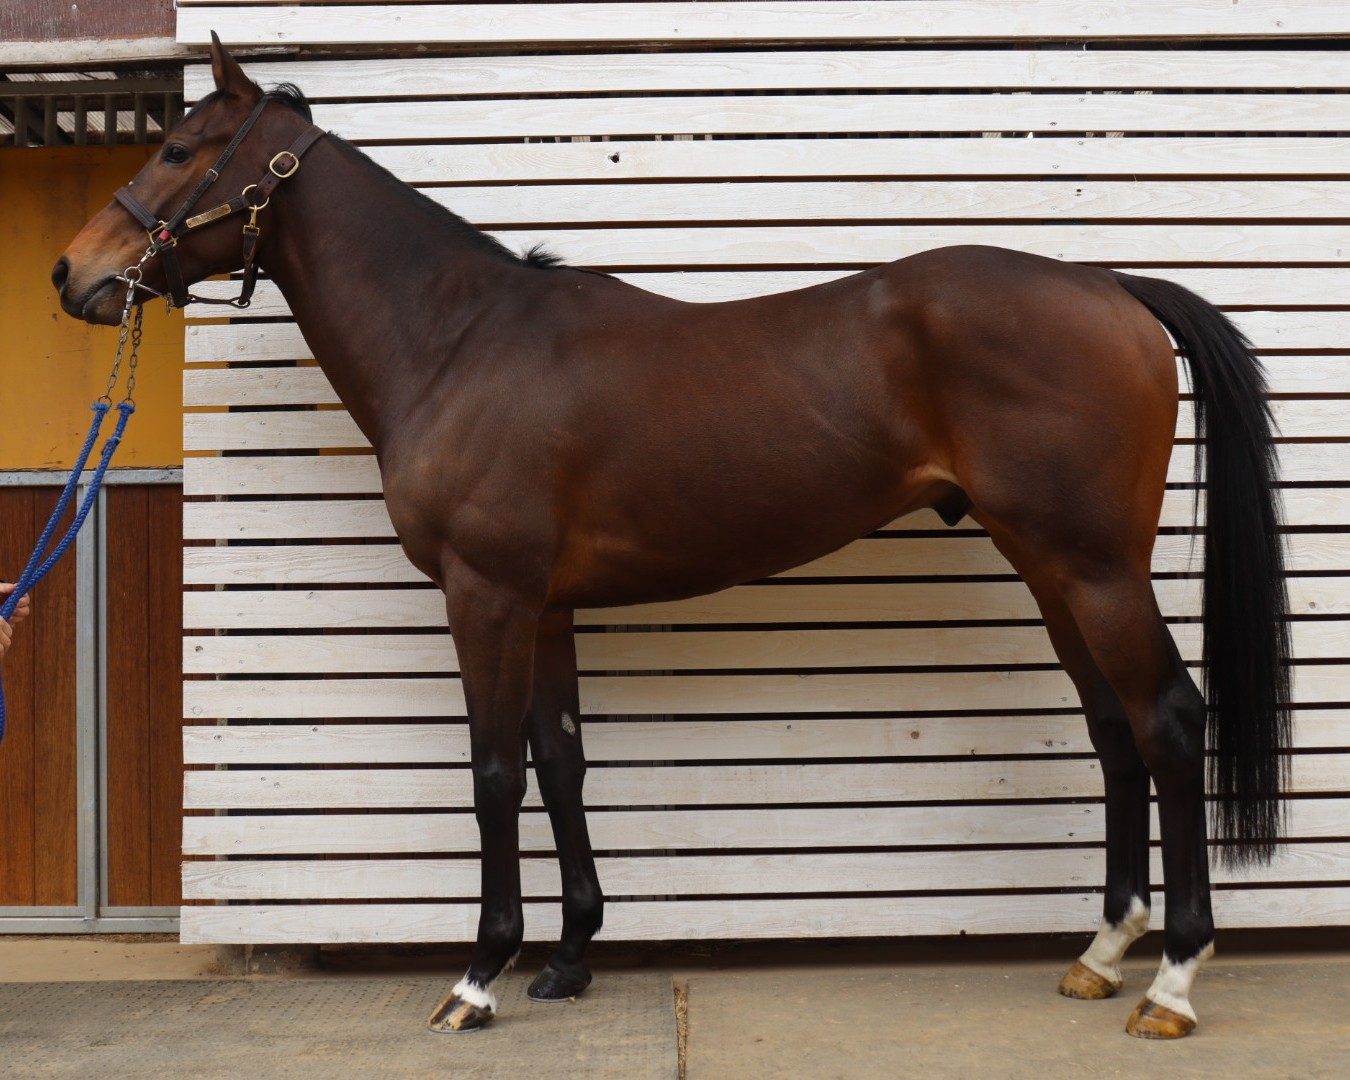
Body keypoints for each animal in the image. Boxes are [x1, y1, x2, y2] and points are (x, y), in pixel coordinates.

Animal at [53, 36, 1290, 1039]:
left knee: (1168, 721)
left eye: (178, 149)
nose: (74, 273)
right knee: (1115, 730)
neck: (460, 341)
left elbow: (495, 772)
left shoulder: (486, 595)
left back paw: (1173, 984)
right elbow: (562, 763)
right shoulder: (544, 604)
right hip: (1053, 568)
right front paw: (567, 961)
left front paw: (479, 977)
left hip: (1094, 568)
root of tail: (1104, 284)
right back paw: (1102, 953)